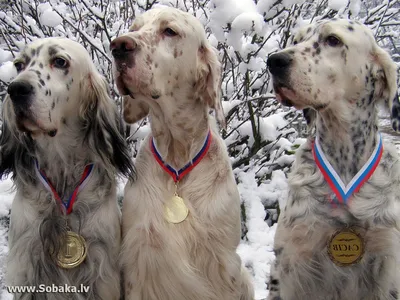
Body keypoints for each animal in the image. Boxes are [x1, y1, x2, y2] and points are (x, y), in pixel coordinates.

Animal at [109, 5, 253, 300]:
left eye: (169, 31)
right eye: (135, 27)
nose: (118, 46)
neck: (177, 160)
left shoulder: (222, 263)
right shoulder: (140, 260)